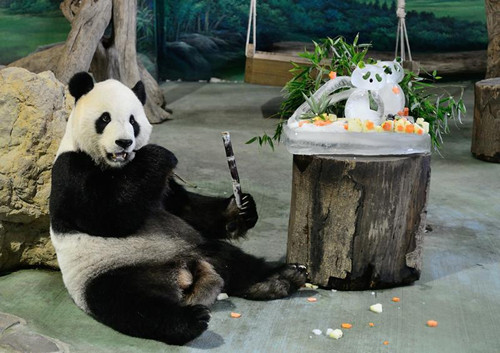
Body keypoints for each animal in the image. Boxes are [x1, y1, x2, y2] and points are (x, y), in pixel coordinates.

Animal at [50, 71, 308, 344]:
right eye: (105, 118)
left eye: (133, 120)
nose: (124, 142)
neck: (118, 167)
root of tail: (183, 275)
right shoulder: (71, 170)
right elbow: (106, 215)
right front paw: (158, 154)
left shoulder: (161, 186)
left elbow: (186, 209)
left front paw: (241, 209)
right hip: (106, 275)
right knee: (130, 303)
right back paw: (189, 320)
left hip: (197, 247)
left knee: (235, 261)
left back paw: (280, 278)